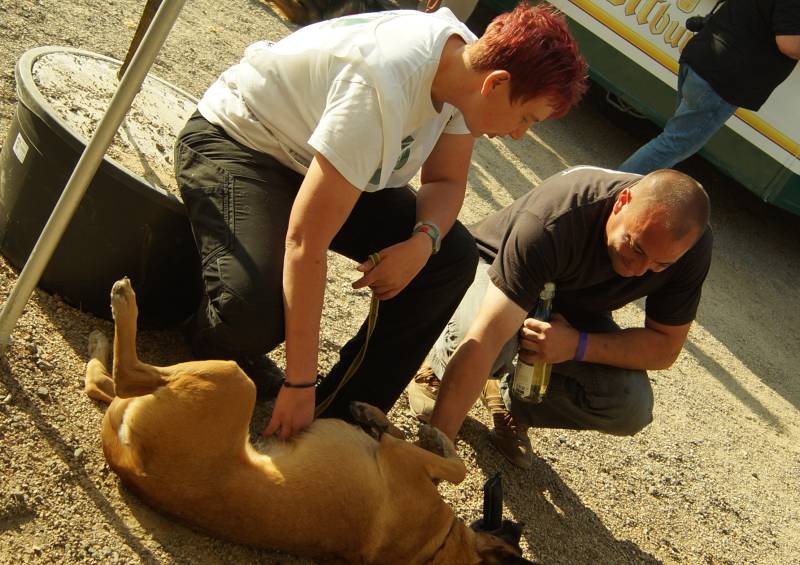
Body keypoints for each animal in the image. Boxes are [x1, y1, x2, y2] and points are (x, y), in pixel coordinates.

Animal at [84, 278, 533, 564]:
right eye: (511, 534)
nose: (518, 523)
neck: (435, 548)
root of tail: (129, 464)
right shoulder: (401, 458)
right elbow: (436, 457)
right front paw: (377, 417)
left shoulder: (400, 459)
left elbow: (455, 468)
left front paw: (426, 433)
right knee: (108, 382)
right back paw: (105, 334)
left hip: (231, 380)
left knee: (123, 376)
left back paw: (121, 306)